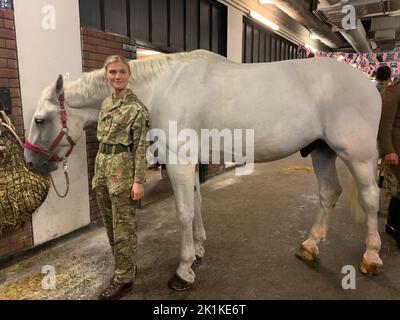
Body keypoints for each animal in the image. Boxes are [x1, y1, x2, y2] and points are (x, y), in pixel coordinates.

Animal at [24, 49, 382, 290]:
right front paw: (197, 249)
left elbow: (183, 212)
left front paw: (184, 270)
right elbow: (196, 203)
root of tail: (368, 84)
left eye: (40, 120)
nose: (30, 162)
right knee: (328, 193)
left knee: (370, 198)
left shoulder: (178, 161)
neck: (162, 87)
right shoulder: (191, 162)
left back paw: (371, 256)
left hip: (358, 156)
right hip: (322, 152)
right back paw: (310, 245)